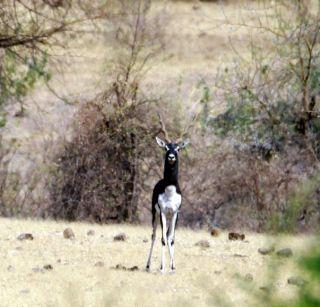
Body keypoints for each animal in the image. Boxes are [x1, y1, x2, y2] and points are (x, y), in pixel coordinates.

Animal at [146, 114, 189, 274]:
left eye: (178, 148)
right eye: (165, 147)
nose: (171, 156)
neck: (170, 191)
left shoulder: (175, 213)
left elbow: (171, 239)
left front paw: (172, 267)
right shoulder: (163, 212)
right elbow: (163, 239)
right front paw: (163, 268)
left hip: (170, 218)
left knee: (167, 236)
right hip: (155, 215)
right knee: (154, 236)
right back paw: (148, 266)